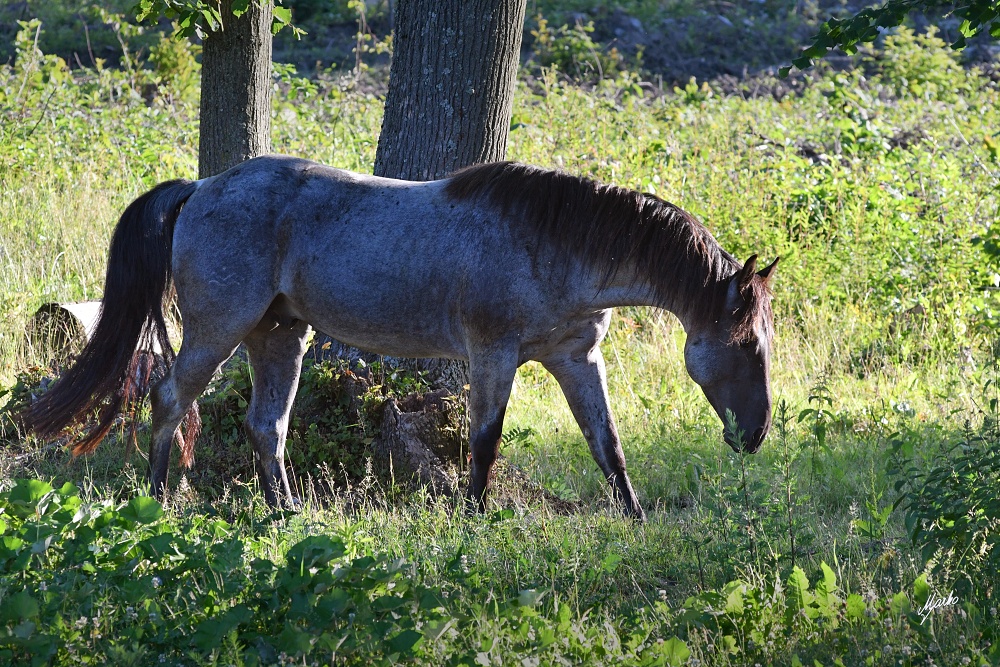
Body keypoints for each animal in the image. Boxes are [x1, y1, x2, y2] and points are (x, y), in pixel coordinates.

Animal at [19, 157, 776, 520]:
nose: (756, 434)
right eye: (747, 345)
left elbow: (607, 444)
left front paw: (636, 516)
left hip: (280, 334)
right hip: (218, 330)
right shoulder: (493, 355)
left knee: (267, 424)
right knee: (171, 399)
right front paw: (473, 515)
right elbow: (483, 440)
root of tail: (202, 186)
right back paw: (158, 498)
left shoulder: (575, 358)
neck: (554, 244)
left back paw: (285, 511)